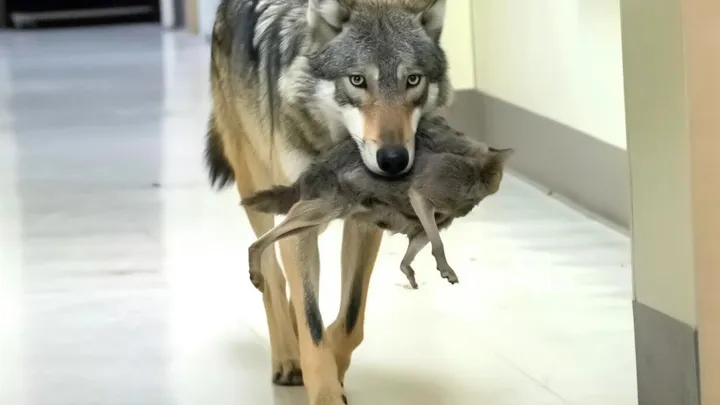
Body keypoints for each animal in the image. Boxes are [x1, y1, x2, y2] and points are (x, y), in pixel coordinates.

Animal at [205, 0, 451, 403]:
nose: (394, 160)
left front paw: (335, 367)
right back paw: (287, 359)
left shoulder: (364, 223)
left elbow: (349, 319)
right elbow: (312, 321)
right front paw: (323, 389)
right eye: (357, 81)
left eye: (412, 80)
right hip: (257, 188)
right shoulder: (298, 222)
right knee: (271, 273)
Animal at [241, 117, 513, 290]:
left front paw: (410, 273)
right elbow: (438, 243)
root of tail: (308, 173)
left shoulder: (422, 226)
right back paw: (255, 272)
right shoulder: (425, 194)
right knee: (261, 239)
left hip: (315, 221)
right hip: (325, 209)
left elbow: (411, 254)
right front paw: (446, 270)